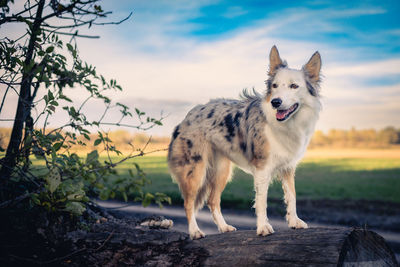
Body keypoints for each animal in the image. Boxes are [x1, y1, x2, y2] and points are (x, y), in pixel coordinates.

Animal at [166, 46, 322, 241]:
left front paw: (294, 222)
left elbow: (291, 196)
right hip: (195, 171)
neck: (285, 123)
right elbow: (262, 201)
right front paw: (263, 227)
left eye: (294, 86)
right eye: (275, 86)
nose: (275, 102)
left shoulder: (288, 167)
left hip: (221, 171)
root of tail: (187, 117)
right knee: (188, 203)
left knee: (212, 200)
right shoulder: (262, 168)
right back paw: (195, 231)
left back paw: (224, 227)